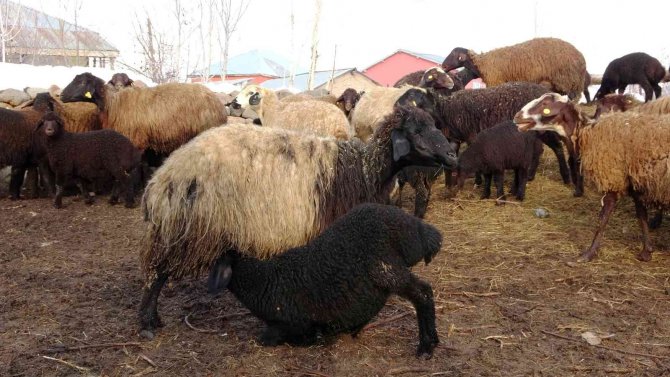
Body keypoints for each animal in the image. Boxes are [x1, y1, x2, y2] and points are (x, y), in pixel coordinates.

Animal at [138, 103, 462, 334]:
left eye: (434, 125)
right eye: (416, 131)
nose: (452, 156)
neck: (364, 169)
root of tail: (162, 176)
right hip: (185, 229)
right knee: (156, 272)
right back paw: (147, 321)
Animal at [207, 203, 444, 358]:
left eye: (217, 265)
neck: (265, 283)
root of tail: (420, 232)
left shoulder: (287, 324)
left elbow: (268, 338)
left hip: (387, 269)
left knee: (422, 294)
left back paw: (425, 348)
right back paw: (433, 341)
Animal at [446, 37, 588, 99]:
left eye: (453, 54)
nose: (443, 66)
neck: (482, 63)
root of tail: (581, 57)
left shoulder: (495, 82)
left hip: (568, 81)